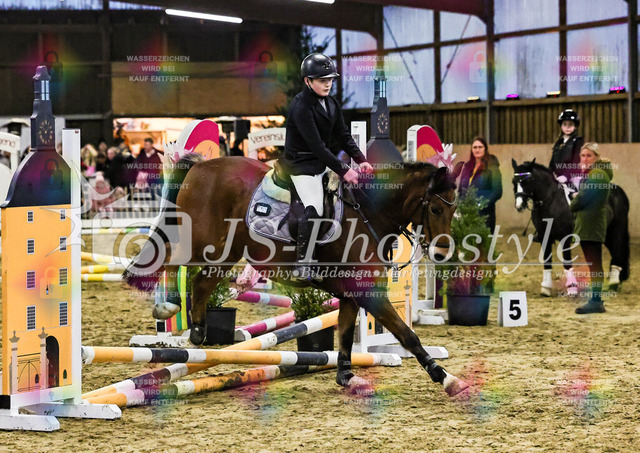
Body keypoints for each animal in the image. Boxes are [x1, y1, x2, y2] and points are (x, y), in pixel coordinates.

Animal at [123, 155, 469, 397]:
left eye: (453, 210)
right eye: (435, 209)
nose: (441, 254)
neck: (369, 213)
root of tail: (200, 166)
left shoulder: (351, 294)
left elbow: (345, 335)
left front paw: (347, 378)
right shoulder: (369, 293)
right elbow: (407, 335)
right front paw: (448, 379)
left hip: (225, 251)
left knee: (201, 281)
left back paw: (197, 332)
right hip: (200, 240)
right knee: (172, 260)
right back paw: (167, 307)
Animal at [511, 159, 630, 295]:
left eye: (527, 181)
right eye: (514, 182)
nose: (519, 205)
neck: (550, 201)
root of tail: (618, 190)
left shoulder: (565, 238)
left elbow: (567, 262)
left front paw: (572, 288)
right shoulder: (544, 237)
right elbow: (547, 262)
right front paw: (546, 288)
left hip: (617, 229)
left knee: (617, 251)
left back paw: (613, 284)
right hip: (606, 233)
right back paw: (617, 282)